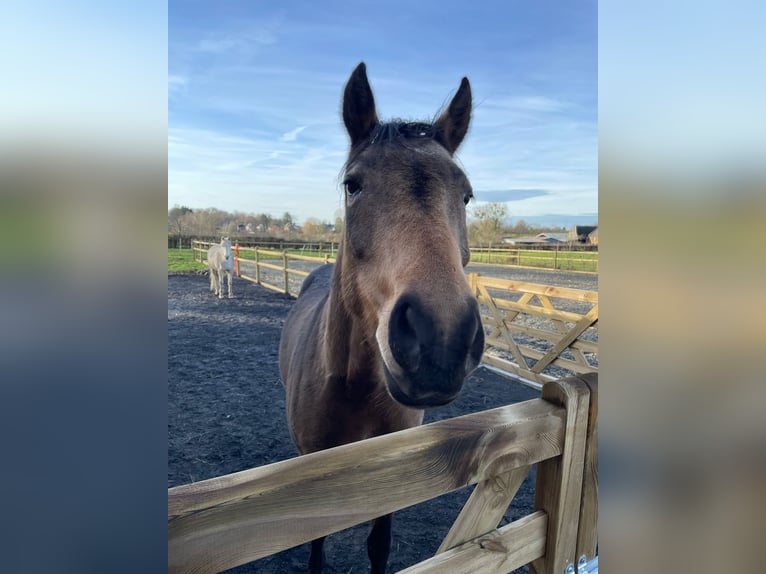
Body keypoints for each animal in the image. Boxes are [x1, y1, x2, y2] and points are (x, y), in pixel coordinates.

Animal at [278, 62, 484, 574]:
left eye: (466, 196)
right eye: (352, 184)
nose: (441, 335)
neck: (354, 390)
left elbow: (379, 545)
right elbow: (316, 543)